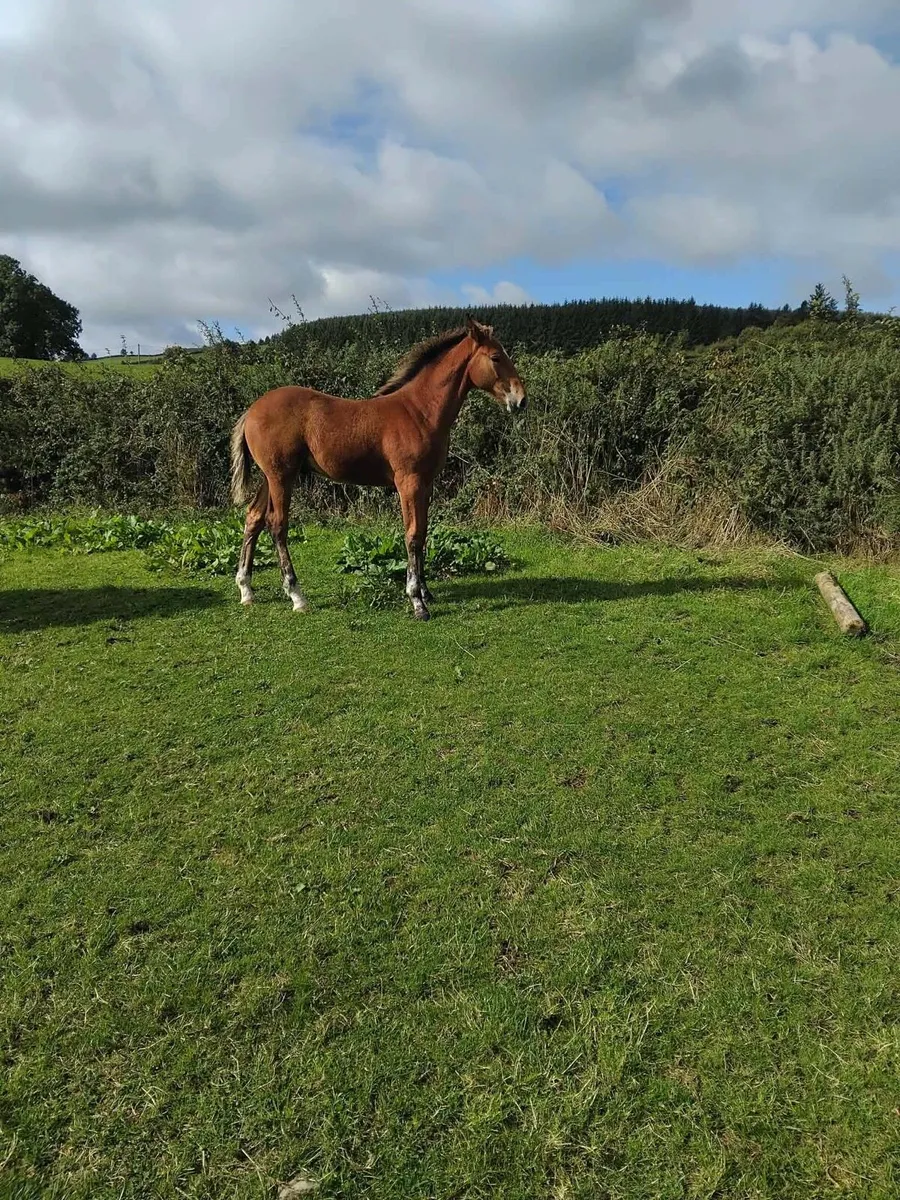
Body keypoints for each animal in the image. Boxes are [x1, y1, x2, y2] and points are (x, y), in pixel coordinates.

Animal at [228, 316, 527, 620]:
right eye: (495, 357)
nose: (520, 400)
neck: (419, 411)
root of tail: (251, 411)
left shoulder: (426, 483)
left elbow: (423, 532)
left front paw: (426, 591)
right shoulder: (409, 482)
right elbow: (412, 535)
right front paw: (417, 601)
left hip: (270, 477)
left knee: (253, 518)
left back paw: (246, 589)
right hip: (281, 476)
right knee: (277, 525)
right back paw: (297, 595)